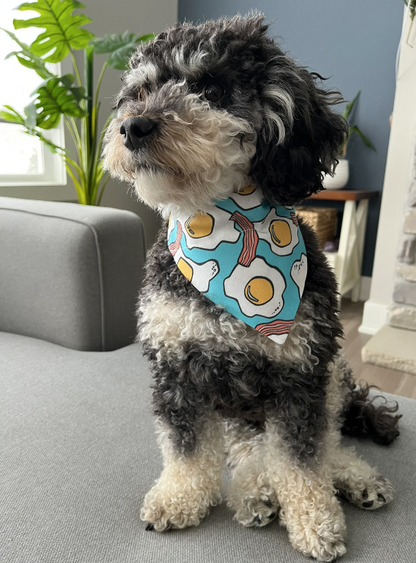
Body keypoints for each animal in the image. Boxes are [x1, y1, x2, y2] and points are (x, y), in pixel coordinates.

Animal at [102, 15, 402, 560]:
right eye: (141, 92)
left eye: (211, 90)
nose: (132, 127)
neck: (223, 227)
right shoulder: (178, 368)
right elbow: (186, 446)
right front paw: (178, 497)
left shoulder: (301, 373)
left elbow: (302, 458)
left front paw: (315, 519)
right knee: (247, 443)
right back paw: (256, 491)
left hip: (332, 374)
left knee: (323, 440)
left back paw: (351, 478)